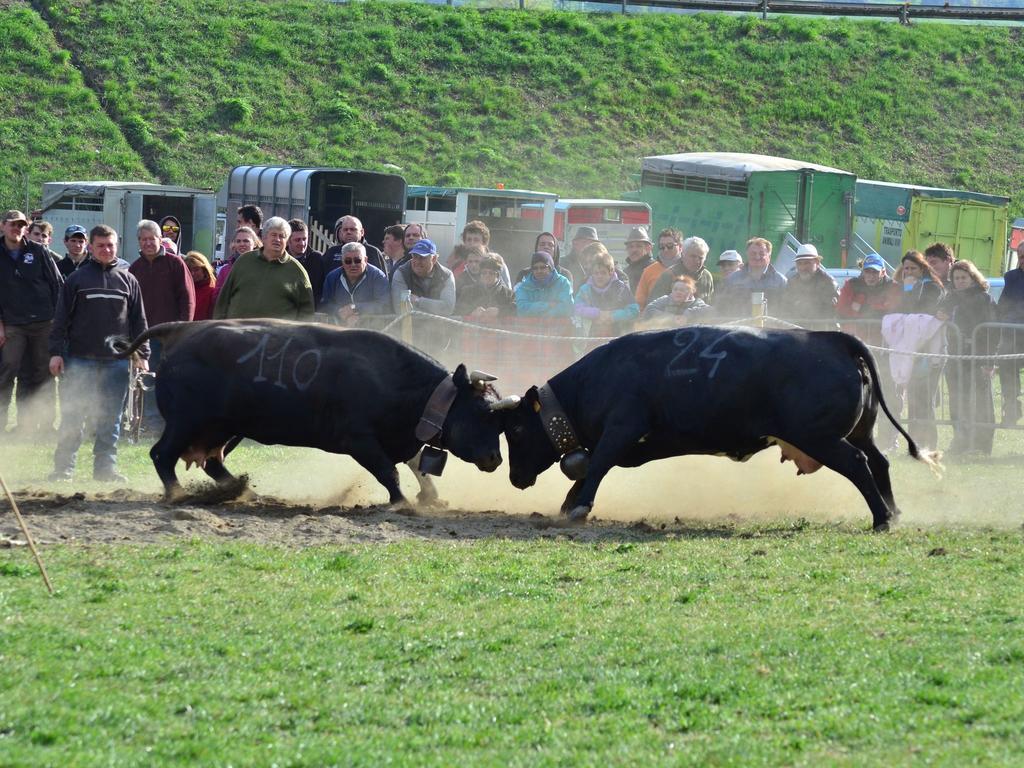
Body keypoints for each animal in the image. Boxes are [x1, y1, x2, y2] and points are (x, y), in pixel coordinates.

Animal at [108, 319, 516, 505]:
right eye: (482, 413)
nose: (495, 458)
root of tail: (183, 329)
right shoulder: (359, 439)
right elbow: (390, 471)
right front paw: (402, 503)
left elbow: (416, 463)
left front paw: (430, 496)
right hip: (186, 421)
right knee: (162, 454)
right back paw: (178, 494)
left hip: (225, 428)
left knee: (211, 461)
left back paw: (244, 492)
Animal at [499, 325, 937, 536]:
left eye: (516, 430)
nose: (515, 477)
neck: (595, 380)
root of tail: (832, 340)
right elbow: (591, 467)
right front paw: (568, 503)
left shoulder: (623, 428)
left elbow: (598, 464)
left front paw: (578, 507)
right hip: (857, 432)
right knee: (879, 462)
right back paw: (894, 512)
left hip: (821, 438)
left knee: (858, 464)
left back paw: (881, 519)